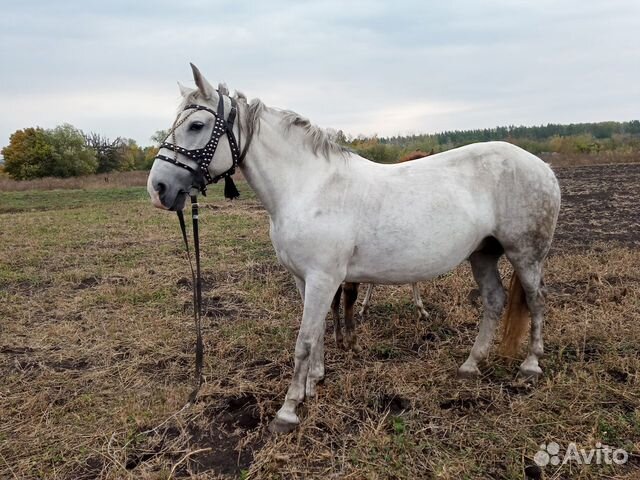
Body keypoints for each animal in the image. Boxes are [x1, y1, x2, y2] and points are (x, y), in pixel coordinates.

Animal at [148, 64, 556, 436]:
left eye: (196, 125)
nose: (159, 188)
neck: (308, 187)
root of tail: (542, 166)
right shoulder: (304, 279)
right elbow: (318, 333)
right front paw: (314, 383)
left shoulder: (323, 278)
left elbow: (304, 340)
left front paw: (288, 411)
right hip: (483, 253)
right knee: (494, 300)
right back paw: (471, 365)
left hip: (525, 254)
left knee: (536, 300)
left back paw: (530, 366)